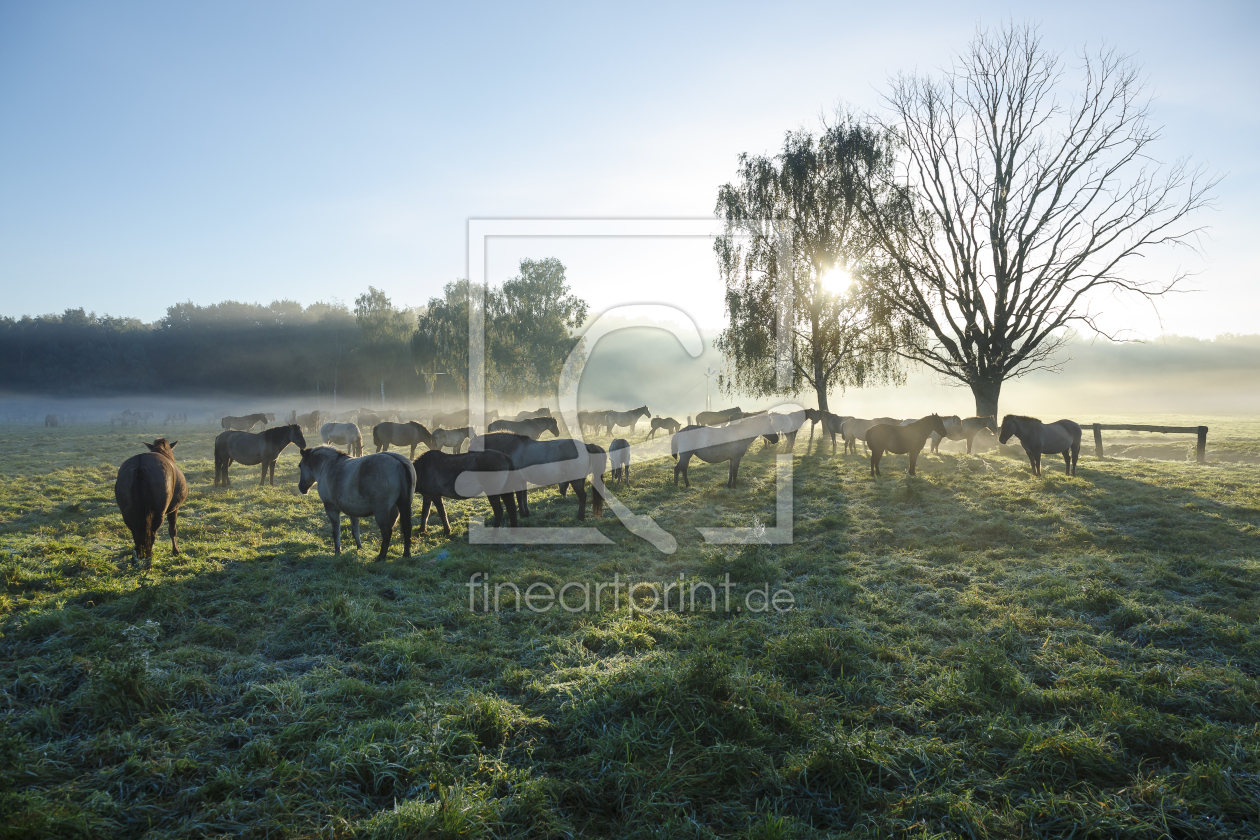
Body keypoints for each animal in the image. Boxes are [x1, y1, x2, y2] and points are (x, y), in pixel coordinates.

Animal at [473, 433, 607, 518]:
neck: (513, 447)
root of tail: (586, 446)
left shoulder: (517, 480)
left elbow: (519, 497)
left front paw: (522, 514)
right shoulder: (522, 480)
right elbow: (524, 497)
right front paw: (526, 513)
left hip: (576, 481)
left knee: (582, 496)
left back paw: (580, 516)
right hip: (581, 480)